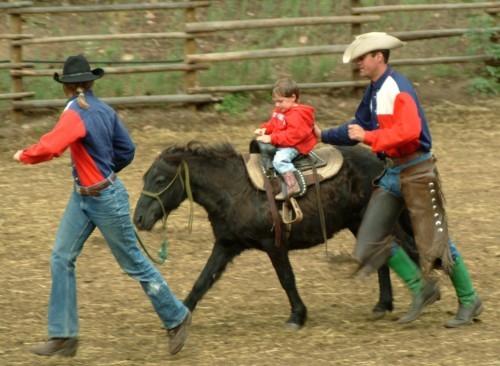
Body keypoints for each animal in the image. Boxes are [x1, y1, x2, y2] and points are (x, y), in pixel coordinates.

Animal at [132, 140, 414, 328]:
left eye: (159, 180)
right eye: (145, 178)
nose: (138, 219)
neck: (233, 188)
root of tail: (380, 163)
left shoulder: (274, 244)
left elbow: (286, 279)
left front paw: (297, 316)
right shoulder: (226, 244)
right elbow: (203, 281)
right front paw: (180, 319)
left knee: (405, 248)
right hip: (360, 223)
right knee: (383, 257)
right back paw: (383, 304)